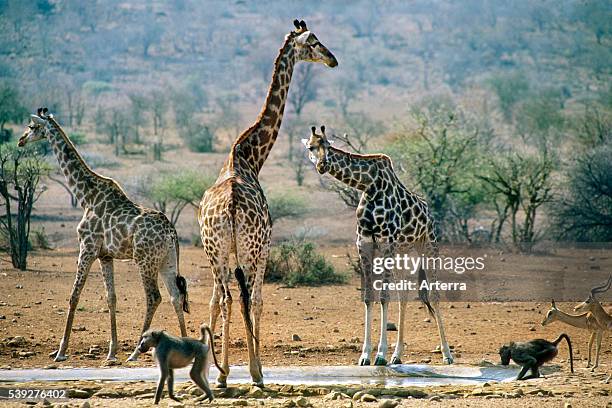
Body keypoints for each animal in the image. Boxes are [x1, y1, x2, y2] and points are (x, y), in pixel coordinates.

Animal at [198, 19, 338, 388]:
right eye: (314, 42)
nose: (333, 60)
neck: (248, 156)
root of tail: (231, 206)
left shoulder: (217, 252)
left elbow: (217, 300)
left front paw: (220, 369)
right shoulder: (265, 247)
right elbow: (258, 301)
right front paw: (255, 368)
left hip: (217, 249)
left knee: (226, 297)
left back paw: (222, 374)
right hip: (249, 248)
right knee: (242, 299)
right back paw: (247, 372)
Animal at [302, 125, 454, 366]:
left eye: (327, 145)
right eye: (311, 147)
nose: (322, 165)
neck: (370, 185)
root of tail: (429, 213)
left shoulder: (386, 242)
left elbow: (383, 296)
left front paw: (380, 355)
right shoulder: (364, 244)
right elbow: (368, 297)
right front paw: (365, 355)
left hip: (428, 246)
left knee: (434, 295)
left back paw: (447, 354)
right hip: (402, 252)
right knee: (404, 295)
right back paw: (397, 355)